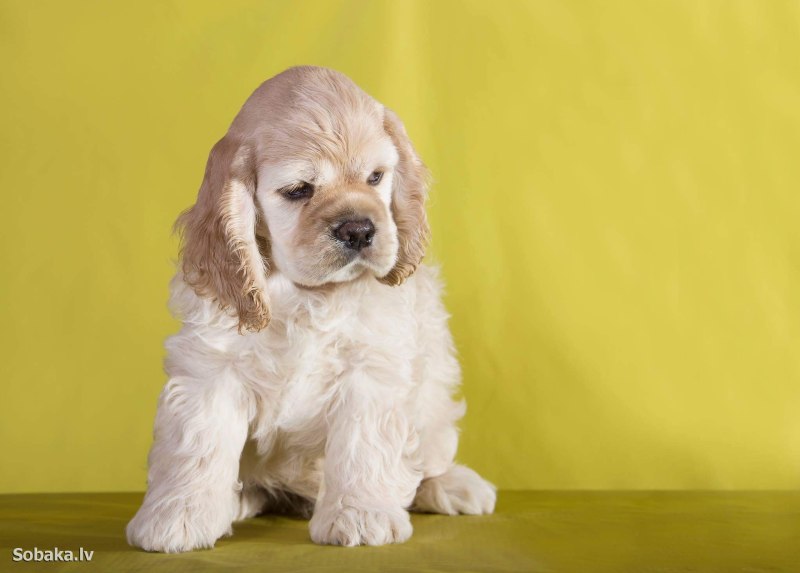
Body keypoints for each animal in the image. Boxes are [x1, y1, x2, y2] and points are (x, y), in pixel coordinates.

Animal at [126, 66, 496, 552]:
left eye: (375, 177)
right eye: (299, 190)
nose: (359, 230)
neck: (309, 294)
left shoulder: (370, 368)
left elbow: (362, 446)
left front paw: (361, 515)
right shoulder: (211, 367)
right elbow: (198, 445)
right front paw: (176, 518)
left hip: (434, 393)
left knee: (428, 459)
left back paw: (455, 486)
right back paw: (238, 500)